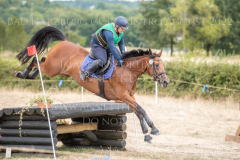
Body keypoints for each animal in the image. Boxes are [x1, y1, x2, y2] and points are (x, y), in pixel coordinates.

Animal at [14, 26, 170, 142]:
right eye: (157, 65)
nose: (166, 81)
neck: (128, 70)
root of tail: (64, 41)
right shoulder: (123, 96)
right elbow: (141, 110)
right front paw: (152, 130)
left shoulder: (130, 97)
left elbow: (138, 111)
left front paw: (148, 133)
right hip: (52, 69)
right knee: (36, 60)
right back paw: (22, 74)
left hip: (59, 71)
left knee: (41, 61)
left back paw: (29, 75)